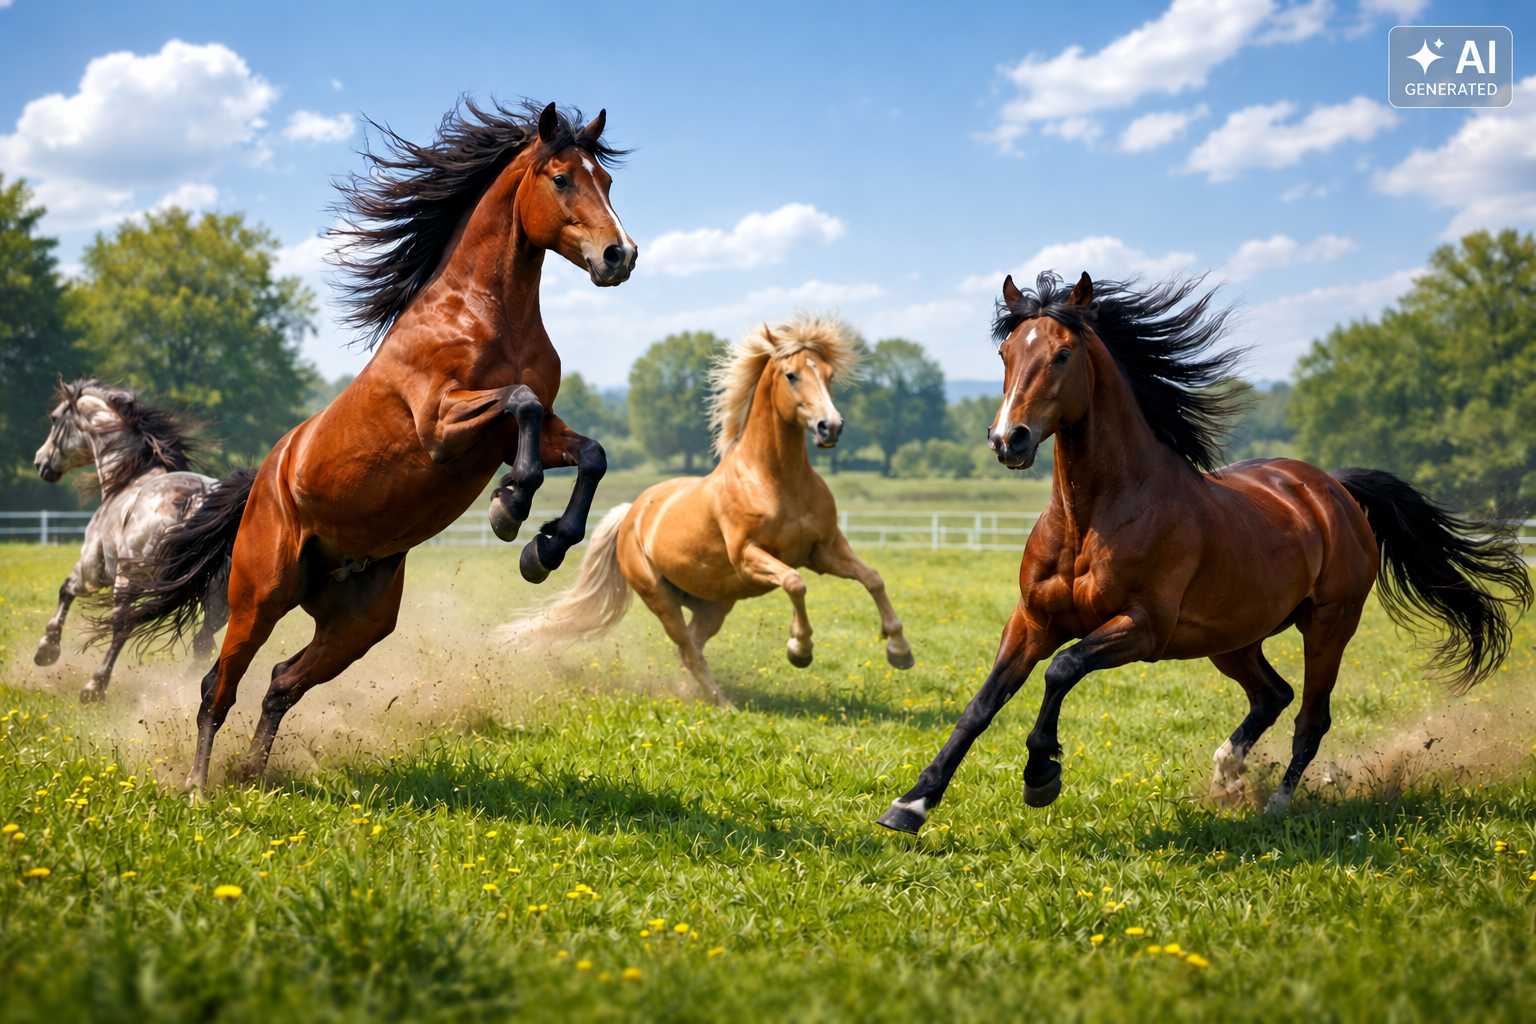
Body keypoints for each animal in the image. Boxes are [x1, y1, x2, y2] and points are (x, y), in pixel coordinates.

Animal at [30, 379, 228, 702]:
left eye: (55, 418)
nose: (40, 462)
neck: (128, 479)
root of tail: (197, 498)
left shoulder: (93, 570)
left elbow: (66, 590)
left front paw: (47, 650)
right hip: (218, 595)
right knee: (204, 642)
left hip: (128, 578)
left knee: (122, 627)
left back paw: (95, 686)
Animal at [112, 99, 637, 790]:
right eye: (561, 179)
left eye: (607, 181)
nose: (619, 255)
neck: (483, 312)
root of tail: (264, 482)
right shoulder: (442, 426)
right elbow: (519, 402)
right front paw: (510, 509)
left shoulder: (531, 431)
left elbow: (591, 453)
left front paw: (544, 549)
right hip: (258, 599)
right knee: (217, 687)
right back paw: (199, 787)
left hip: (359, 624)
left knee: (281, 681)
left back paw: (252, 772)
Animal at [500, 316, 914, 705]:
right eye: (792, 374)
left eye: (828, 375)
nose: (831, 427)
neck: (774, 479)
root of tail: (631, 514)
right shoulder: (750, 555)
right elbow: (796, 583)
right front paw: (800, 649)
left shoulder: (823, 550)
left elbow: (873, 578)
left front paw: (899, 651)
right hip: (662, 599)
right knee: (687, 649)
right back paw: (722, 703)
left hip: (714, 605)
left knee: (693, 648)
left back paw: (695, 693)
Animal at [877, 271, 1532, 834]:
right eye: (1006, 354)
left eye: (1062, 354)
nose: (1007, 439)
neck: (1094, 518)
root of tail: (1334, 489)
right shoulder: (1033, 619)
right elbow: (982, 704)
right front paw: (911, 804)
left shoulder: (1142, 629)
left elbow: (1062, 670)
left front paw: (1041, 775)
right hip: (1232, 638)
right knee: (1273, 695)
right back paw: (1226, 773)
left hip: (1329, 625)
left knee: (1310, 716)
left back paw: (1275, 805)